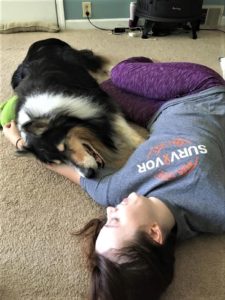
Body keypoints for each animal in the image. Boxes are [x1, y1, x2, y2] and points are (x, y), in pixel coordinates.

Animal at [12, 38, 143, 177]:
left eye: (64, 146)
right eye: (60, 162)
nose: (89, 174)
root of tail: (43, 40)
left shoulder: (101, 101)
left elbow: (125, 129)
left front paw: (143, 144)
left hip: (75, 56)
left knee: (97, 61)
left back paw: (114, 69)